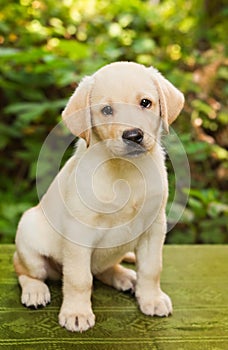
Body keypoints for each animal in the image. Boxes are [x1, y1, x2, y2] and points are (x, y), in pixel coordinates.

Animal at [13, 61, 184, 332]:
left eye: (145, 103)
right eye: (106, 110)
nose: (133, 136)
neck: (125, 171)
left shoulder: (154, 228)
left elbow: (151, 268)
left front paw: (152, 299)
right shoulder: (79, 233)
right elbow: (79, 278)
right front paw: (76, 313)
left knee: (103, 269)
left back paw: (124, 276)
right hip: (29, 239)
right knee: (23, 268)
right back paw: (35, 291)